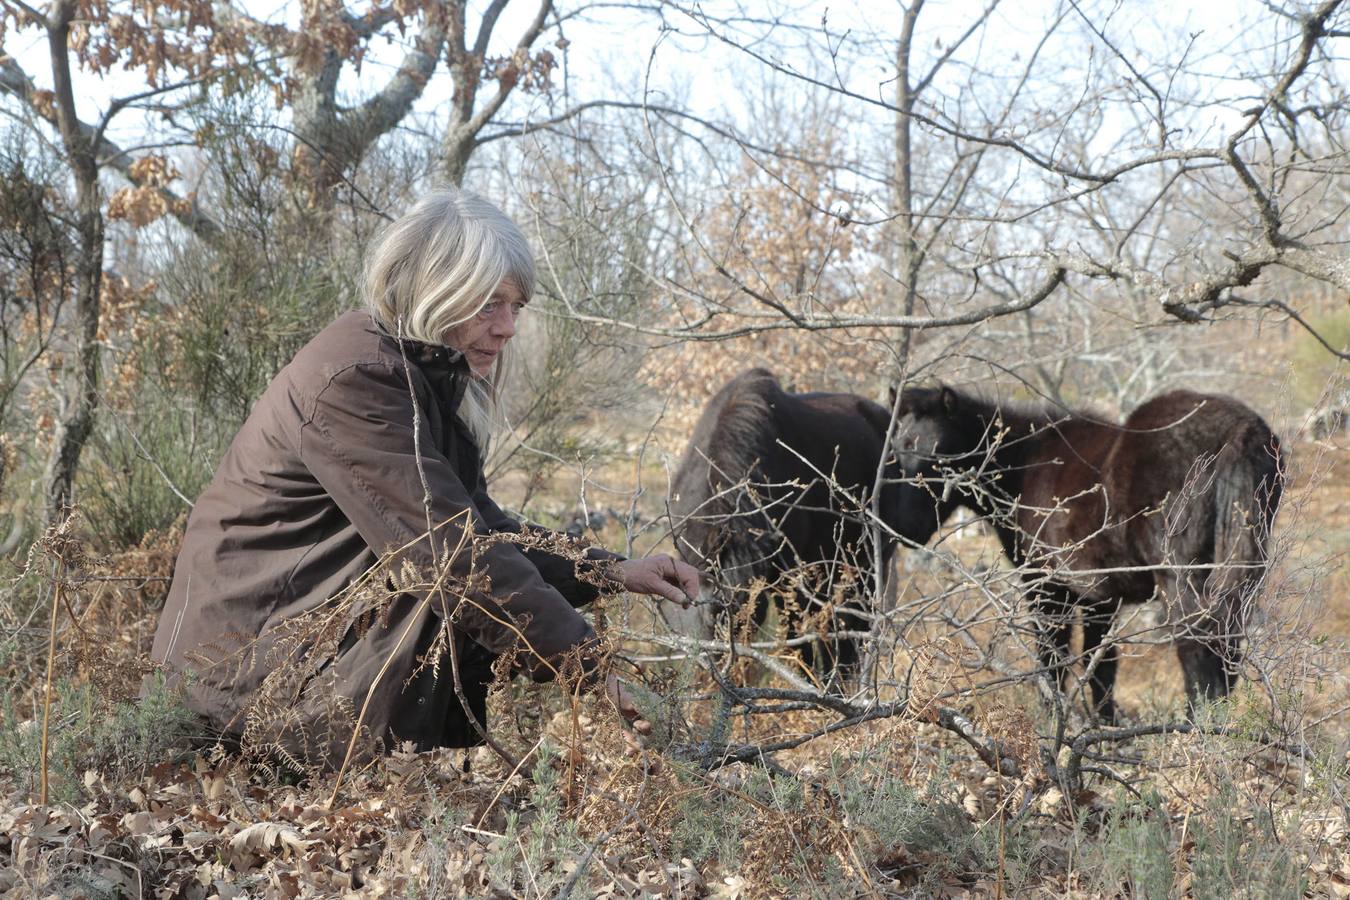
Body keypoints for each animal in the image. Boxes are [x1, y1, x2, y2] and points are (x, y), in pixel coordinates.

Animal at [891, 384, 1284, 720]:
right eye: (897, 450)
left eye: (937, 456)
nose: (903, 528)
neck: (1026, 463)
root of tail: (1239, 431)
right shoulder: (1100, 598)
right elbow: (1101, 667)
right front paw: (1106, 729)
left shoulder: (1046, 587)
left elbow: (1053, 660)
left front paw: (1054, 723)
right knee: (1226, 644)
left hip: (1179, 577)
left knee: (1198, 645)